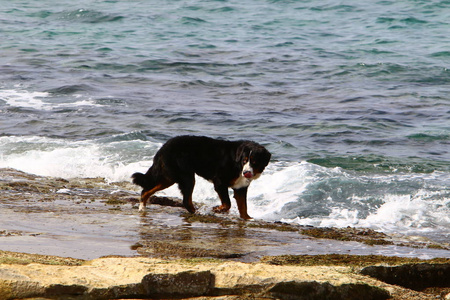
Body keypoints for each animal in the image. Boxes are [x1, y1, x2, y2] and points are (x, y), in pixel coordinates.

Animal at [130, 135, 270, 218]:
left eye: (254, 162)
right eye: (244, 160)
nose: (246, 173)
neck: (237, 165)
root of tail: (163, 147)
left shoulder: (240, 187)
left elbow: (243, 208)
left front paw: (247, 219)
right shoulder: (220, 182)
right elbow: (227, 204)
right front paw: (216, 209)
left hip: (169, 178)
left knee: (146, 190)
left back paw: (142, 206)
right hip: (185, 177)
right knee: (186, 201)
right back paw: (198, 213)